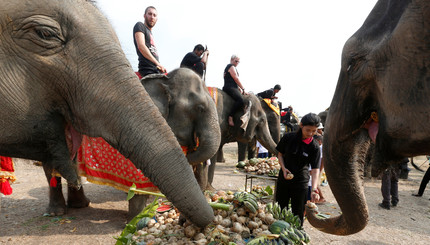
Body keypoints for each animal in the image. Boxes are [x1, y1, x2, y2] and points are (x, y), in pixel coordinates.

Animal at [47, 68, 222, 220]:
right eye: (200, 108)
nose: (189, 151)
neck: (164, 80)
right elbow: (138, 182)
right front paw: (136, 219)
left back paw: (80, 205)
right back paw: (57, 212)